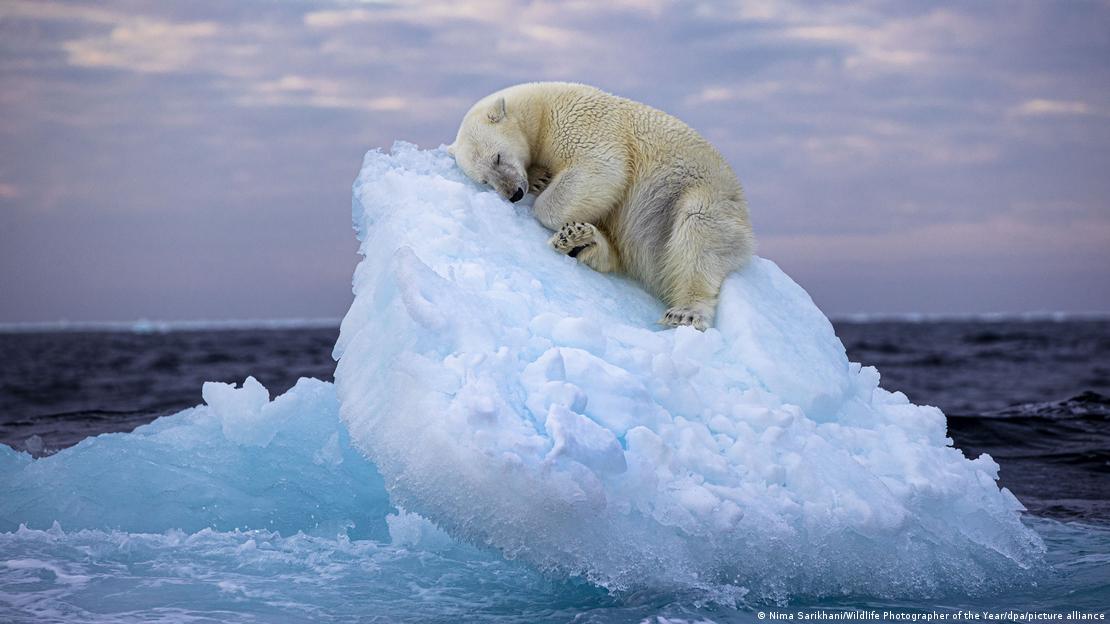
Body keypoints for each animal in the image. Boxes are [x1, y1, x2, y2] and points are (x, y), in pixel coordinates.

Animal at [449, 82, 755, 331]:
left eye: (498, 157)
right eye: (485, 180)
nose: (514, 193)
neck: (541, 109)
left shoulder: (580, 122)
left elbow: (601, 168)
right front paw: (540, 178)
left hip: (700, 195)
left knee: (698, 234)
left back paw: (685, 312)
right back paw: (580, 241)